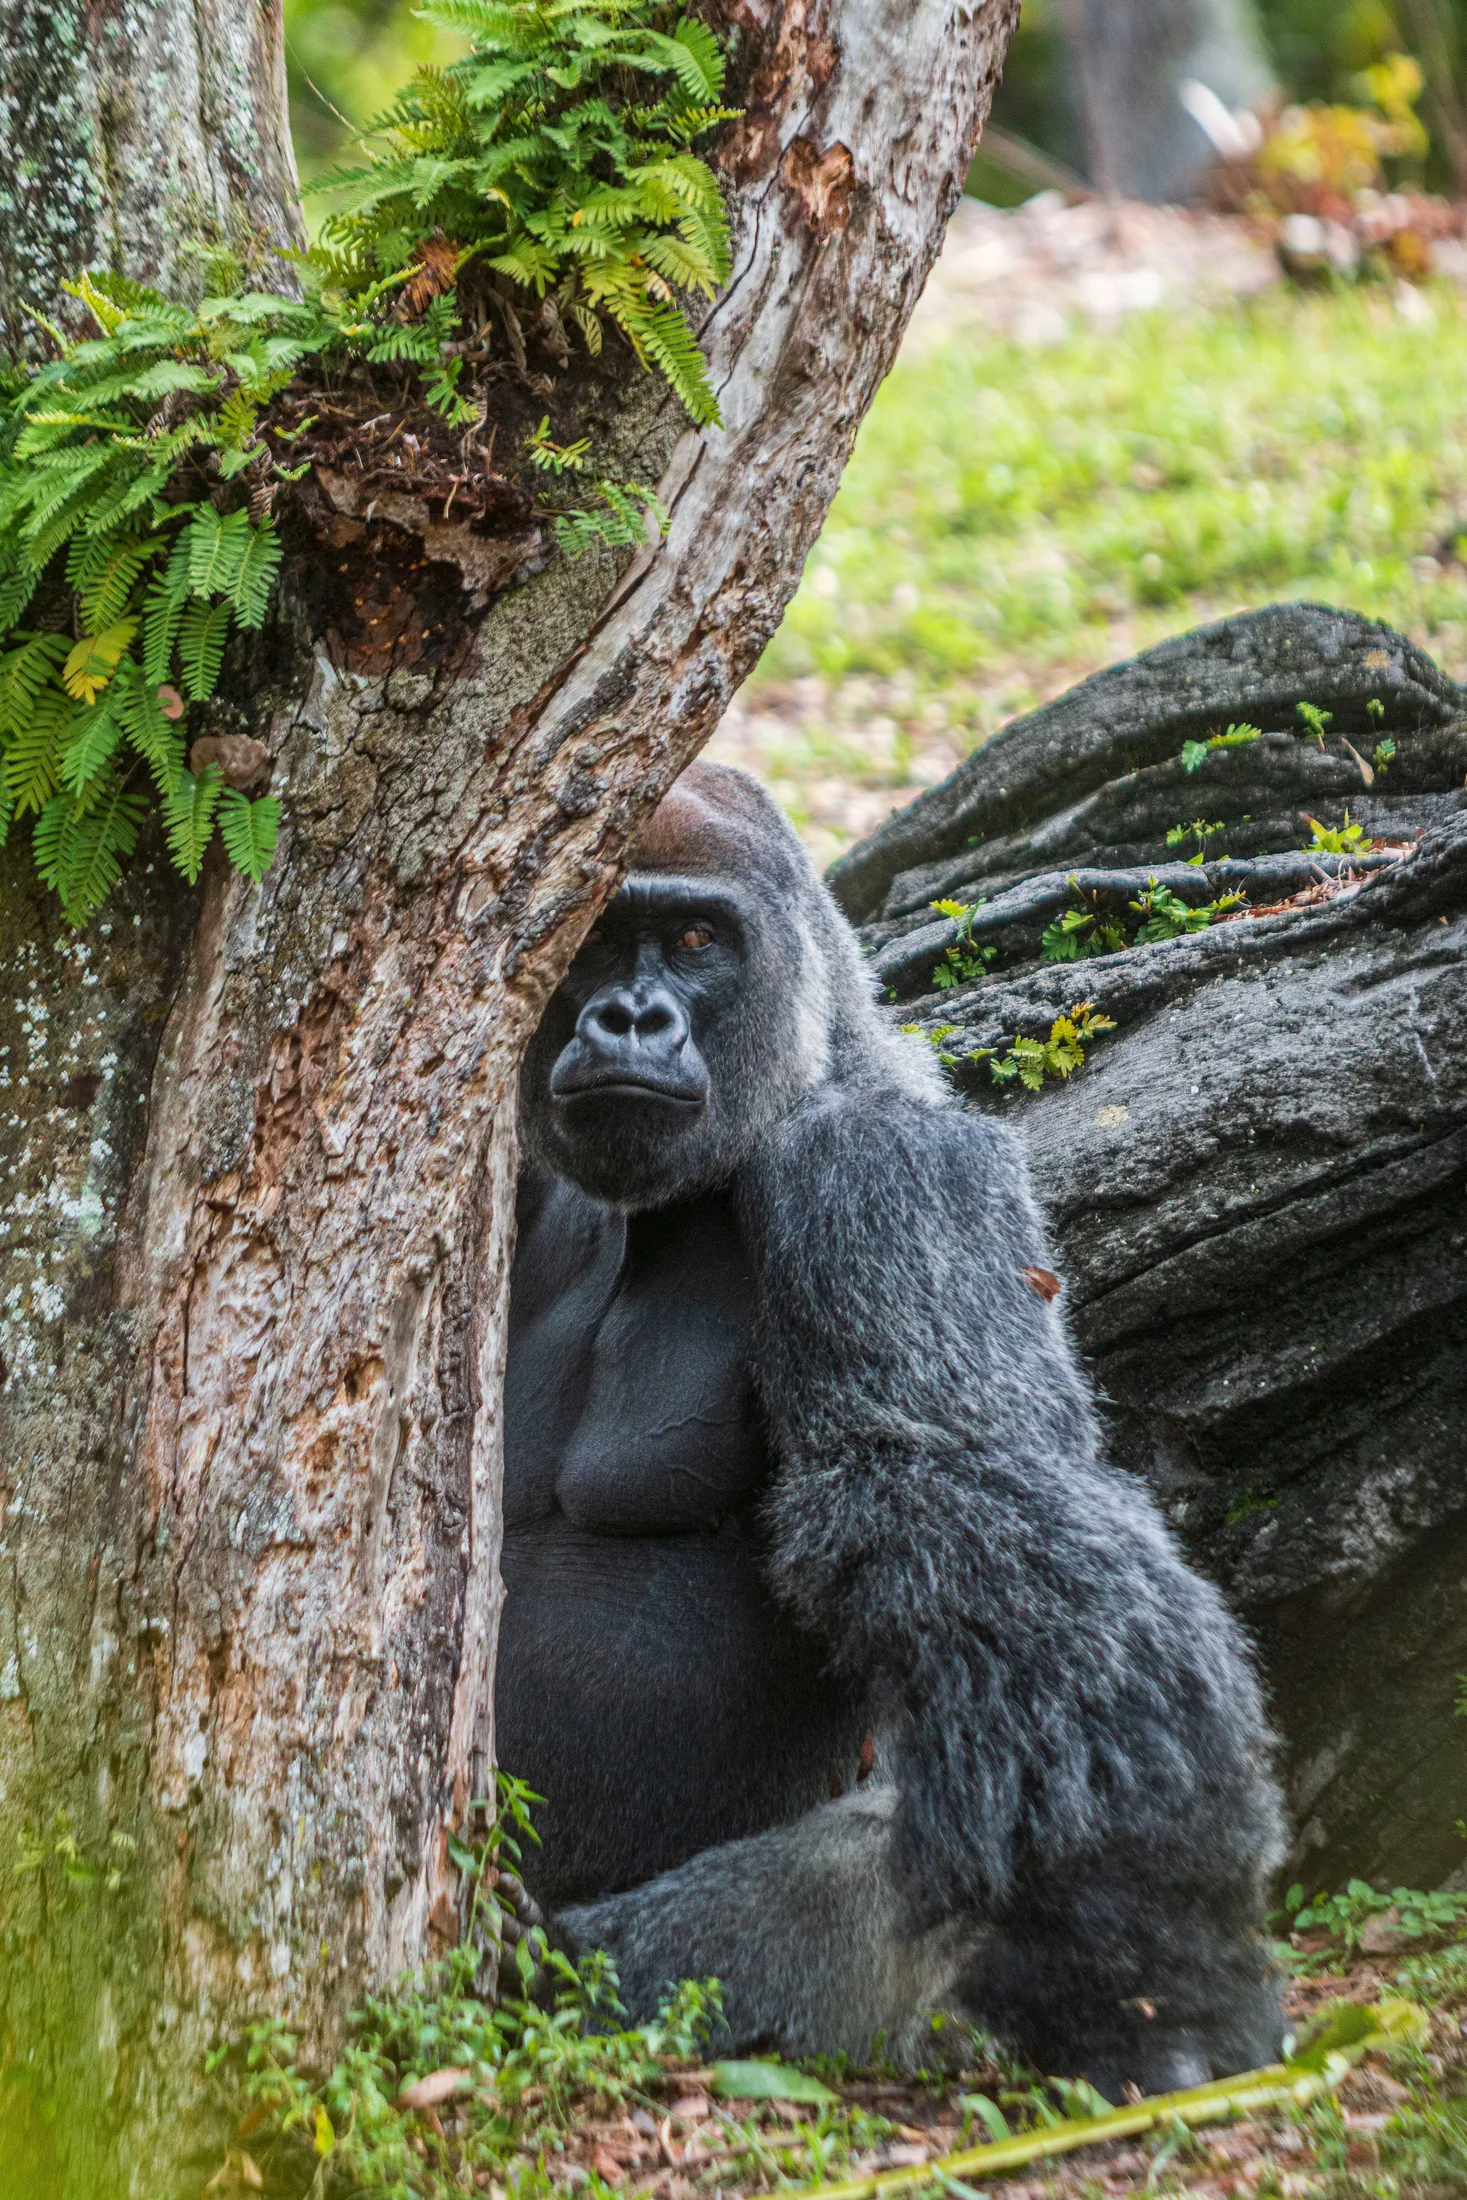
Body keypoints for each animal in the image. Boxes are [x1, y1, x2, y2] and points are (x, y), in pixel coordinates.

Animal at [497, 757, 1286, 2095]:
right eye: (593, 940)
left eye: (696, 941)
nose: (627, 1020)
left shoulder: (884, 1165)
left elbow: (955, 1485)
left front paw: (1165, 1962)